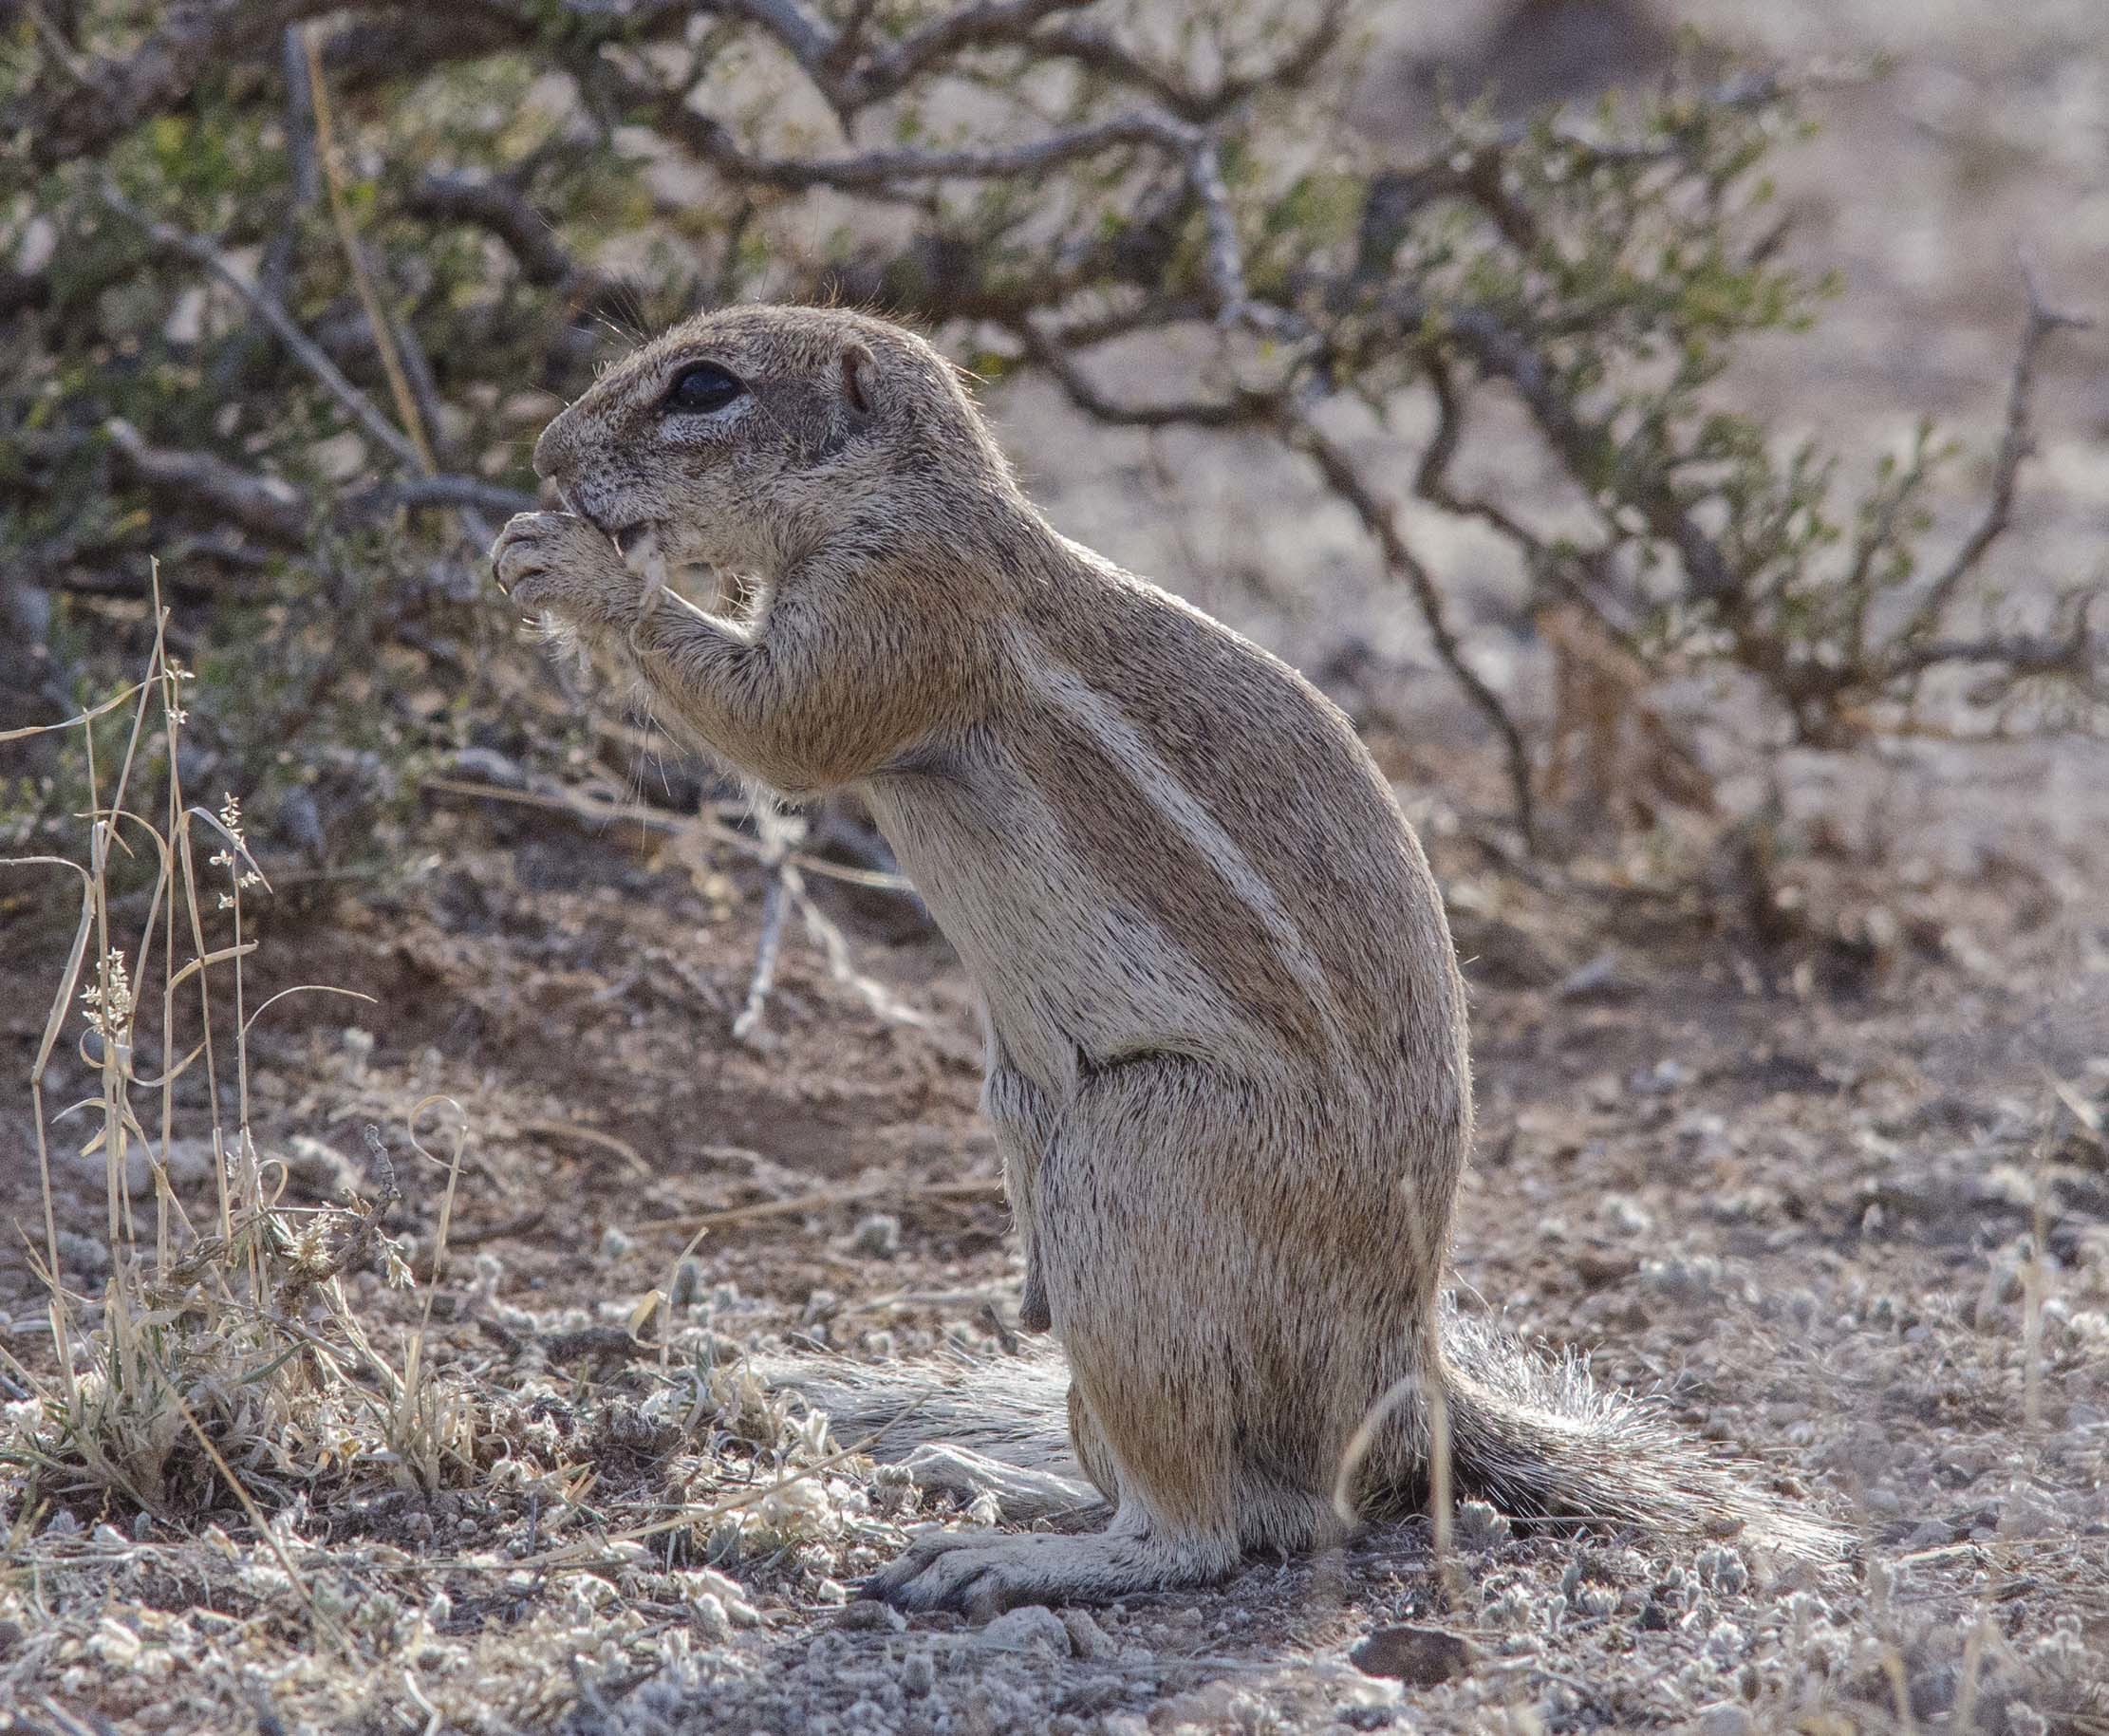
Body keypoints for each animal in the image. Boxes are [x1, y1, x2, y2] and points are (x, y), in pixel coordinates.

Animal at [485, 308, 1838, 1619]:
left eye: (702, 387)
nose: (545, 452)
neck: (906, 496)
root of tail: (1405, 1389)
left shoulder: (899, 614)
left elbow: (778, 729)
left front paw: (564, 564)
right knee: (1213, 1492)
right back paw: (995, 1471)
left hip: (1141, 1167)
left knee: (1202, 1532)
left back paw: (1013, 1555)